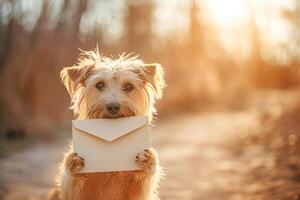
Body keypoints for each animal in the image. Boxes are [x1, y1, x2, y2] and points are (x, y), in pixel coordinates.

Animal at [49, 48, 166, 200]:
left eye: (128, 86)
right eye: (100, 85)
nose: (113, 106)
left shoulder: (138, 194)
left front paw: (148, 161)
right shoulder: (77, 194)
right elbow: (73, 188)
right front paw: (72, 163)